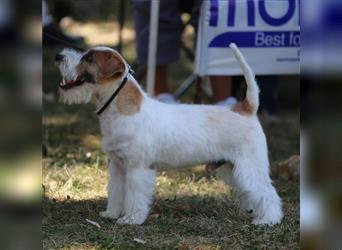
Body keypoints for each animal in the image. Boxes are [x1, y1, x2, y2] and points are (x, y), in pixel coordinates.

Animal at [54, 44, 284, 226]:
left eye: (88, 58)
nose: (58, 56)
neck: (120, 110)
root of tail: (246, 109)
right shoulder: (117, 167)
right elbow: (116, 193)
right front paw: (111, 213)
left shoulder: (137, 169)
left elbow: (134, 197)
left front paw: (131, 219)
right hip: (231, 168)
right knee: (251, 192)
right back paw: (253, 211)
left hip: (250, 167)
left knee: (267, 192)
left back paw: (268, 220)